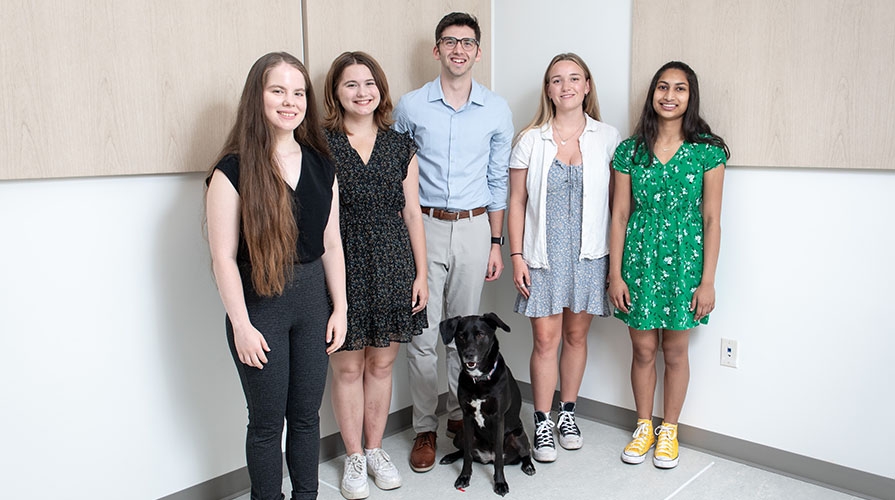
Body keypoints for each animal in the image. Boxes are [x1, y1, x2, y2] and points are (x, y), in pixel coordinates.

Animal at [440, 312, 536, 496]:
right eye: (461, 336)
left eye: (480, 334)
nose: (469, 355)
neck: (479, 380)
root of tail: (487, 458)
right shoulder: (467, 417)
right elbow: (467, 455)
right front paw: (464, 477)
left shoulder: (498, 418)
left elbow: (499, 458)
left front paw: (500, 483)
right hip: (460, 434)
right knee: (465, 450)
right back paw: (450, 456)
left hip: (517, 436)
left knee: (524, 453)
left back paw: (528, 466)